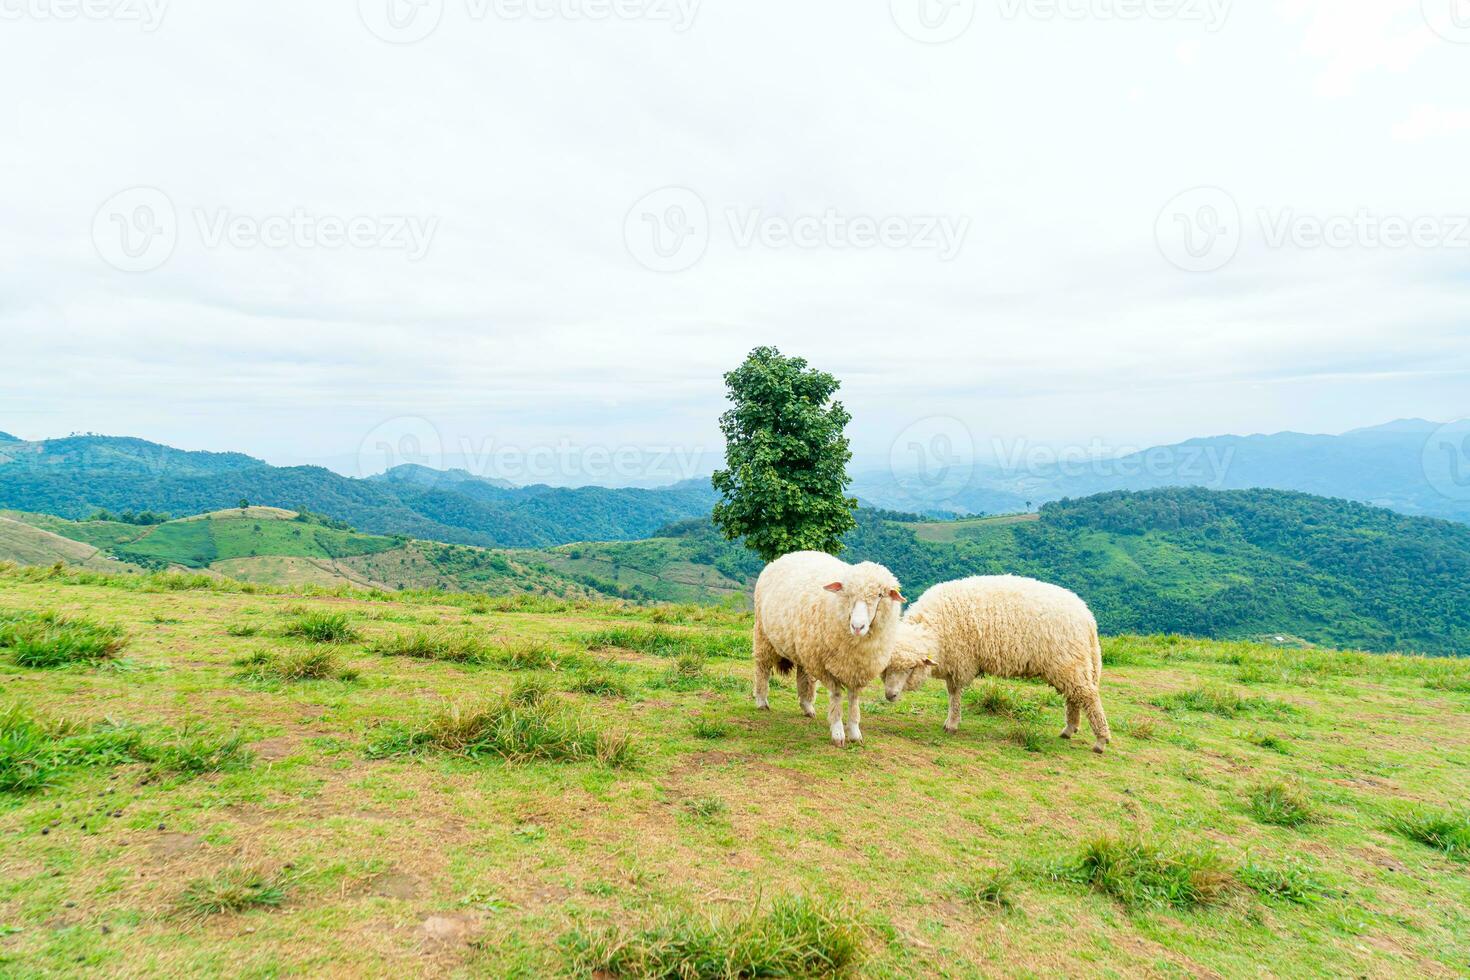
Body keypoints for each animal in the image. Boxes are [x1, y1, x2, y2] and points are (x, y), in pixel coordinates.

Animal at [752, 549, 899, 746]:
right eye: (847, 594)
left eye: (880, 595)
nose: (857, 626)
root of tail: (789, 555)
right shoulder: (826, 667)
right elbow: (836, 696)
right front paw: (837, 733)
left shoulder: (858, 669)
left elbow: (854, 699)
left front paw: (855, 732)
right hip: (764, 636)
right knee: (763, 669)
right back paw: (761, 701)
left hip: (805, 647)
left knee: (804, 675)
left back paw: (807, 706)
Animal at [876, 575, 1105, 752]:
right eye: (887, 668)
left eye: (911, 668)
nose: (890, 695)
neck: (933, 629)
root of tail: (1087, 616)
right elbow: (952, 693)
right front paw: (951, 721)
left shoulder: (961, 661)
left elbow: (954, 694)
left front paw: (952, 724)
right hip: (1069, 664)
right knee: (1074, 696)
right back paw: (1069, 729)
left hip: (1067, 661)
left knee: (1088, 696)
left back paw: (1100, 740)